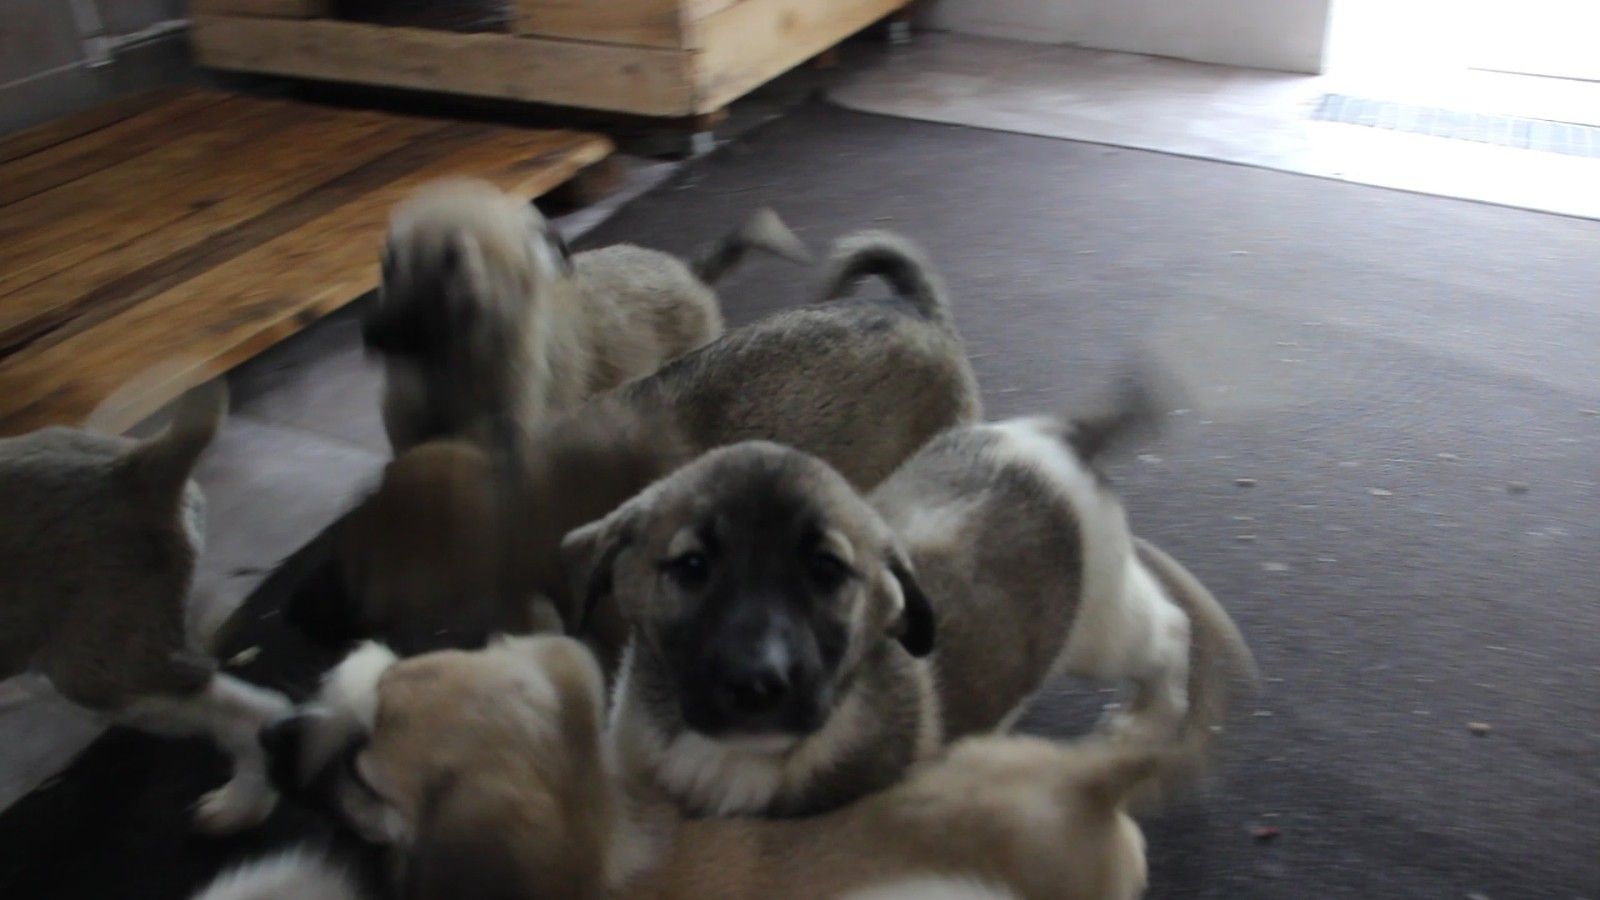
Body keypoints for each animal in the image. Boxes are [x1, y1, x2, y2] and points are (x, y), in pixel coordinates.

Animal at [561, 376, 1254, 817]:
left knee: (1167, 628)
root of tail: (1056, 437)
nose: (758, 683)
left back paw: (1150, 715)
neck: (735, 758)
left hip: (1100, 622)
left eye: (826, 570)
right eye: (692, 566)